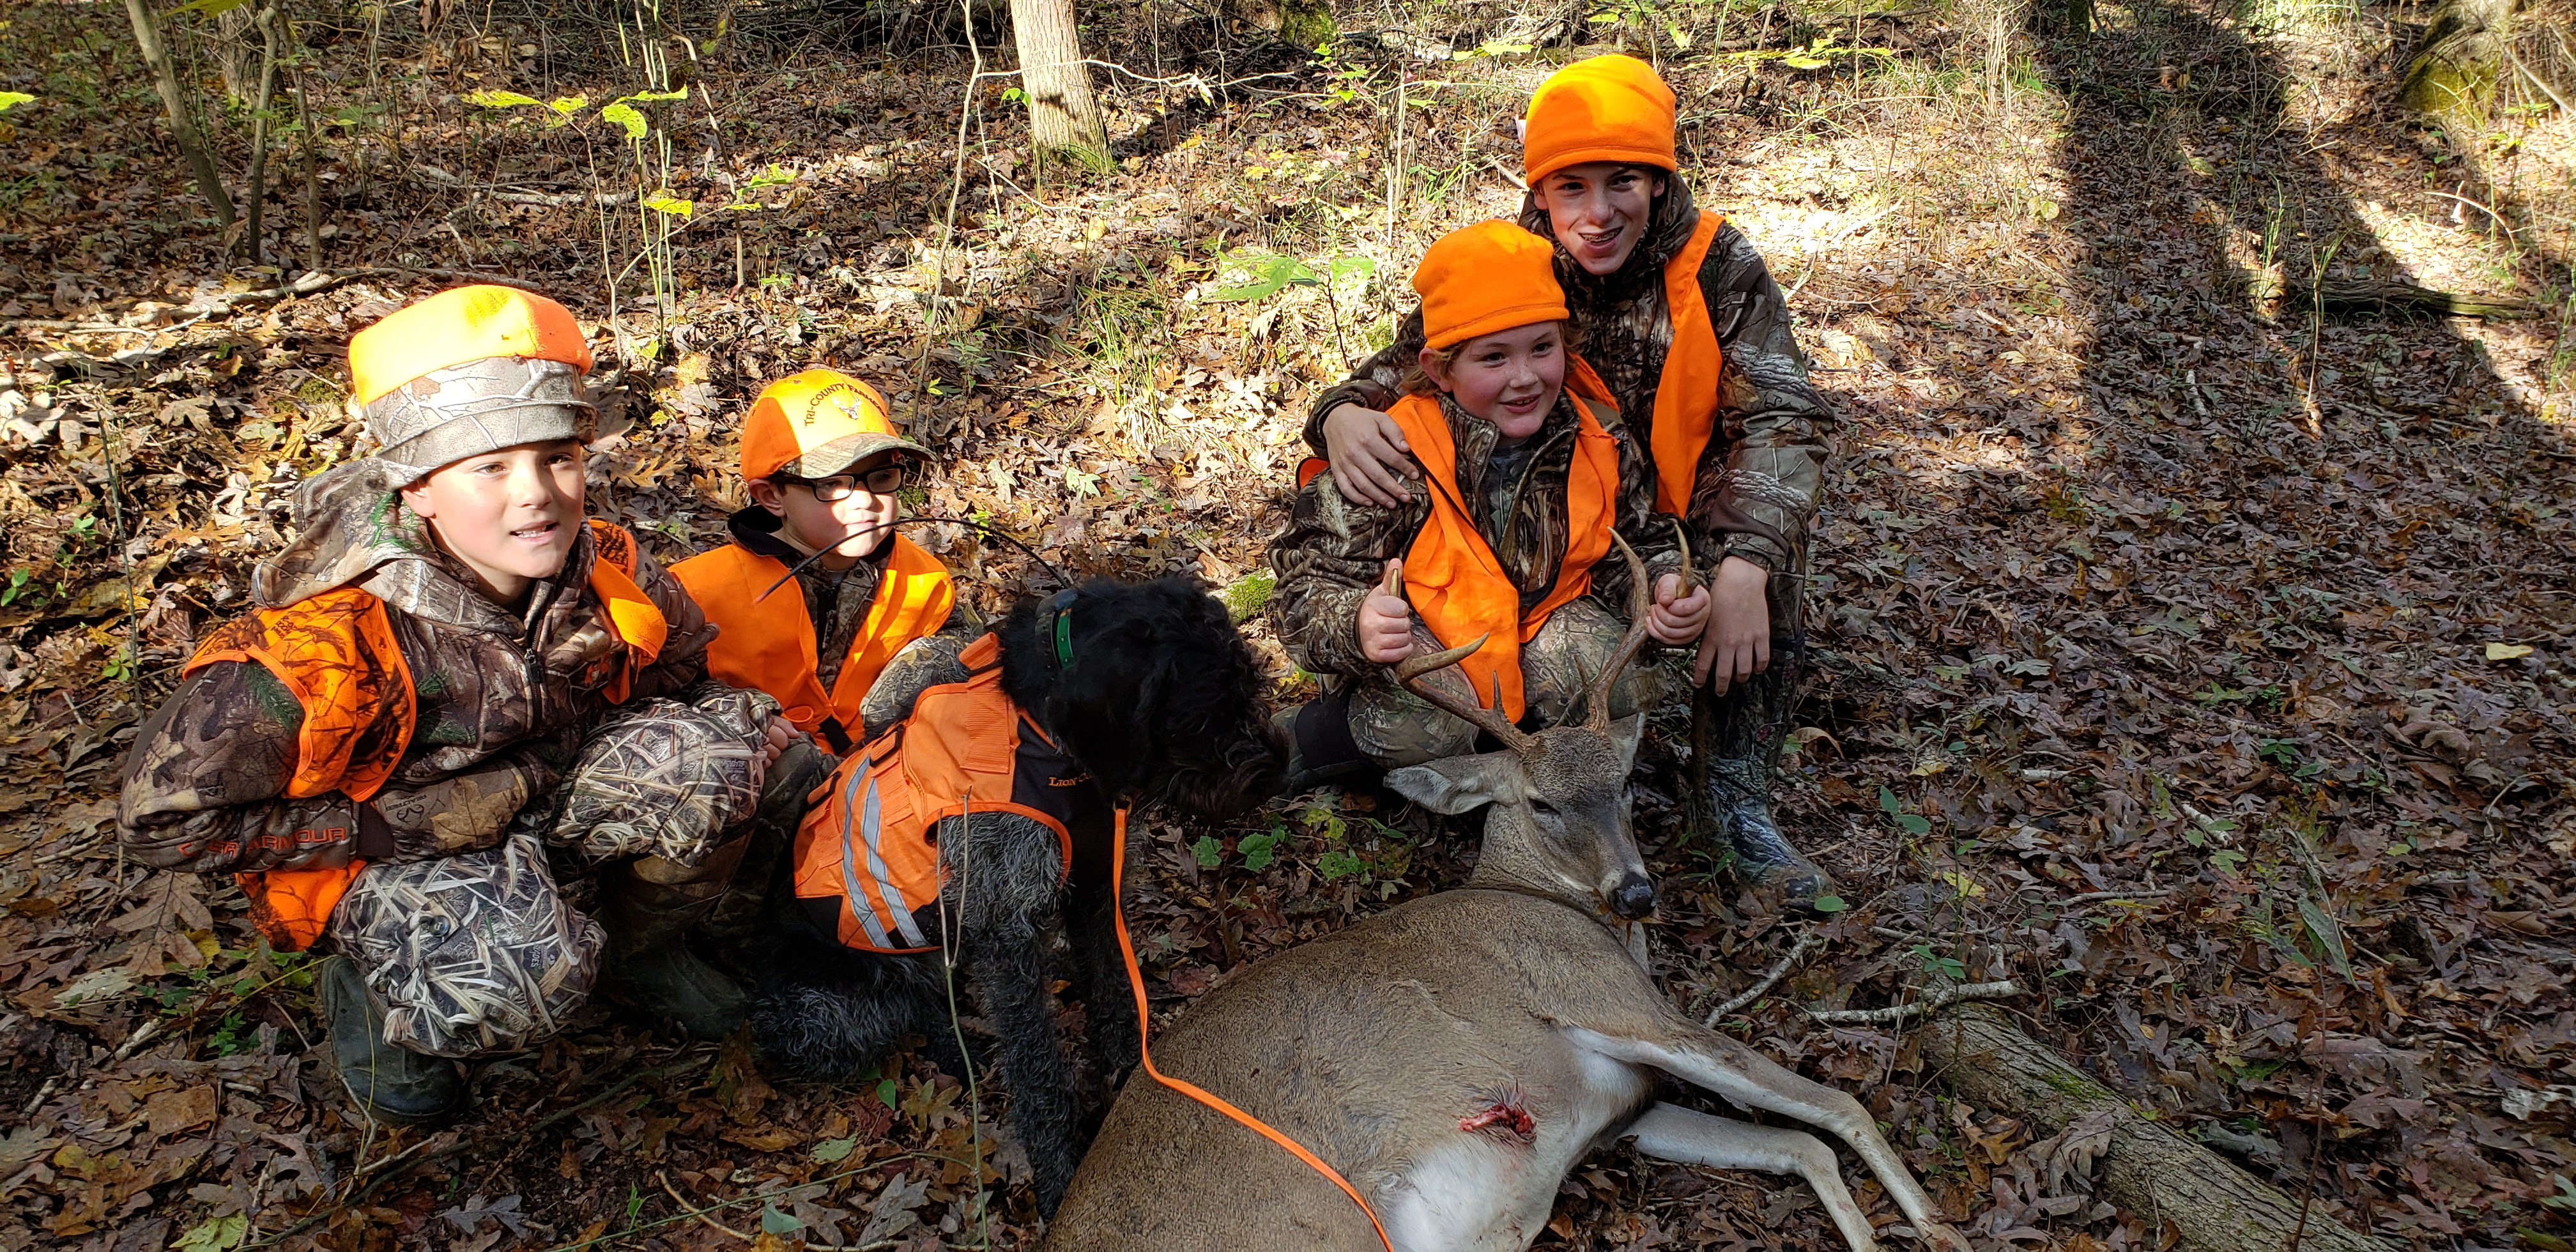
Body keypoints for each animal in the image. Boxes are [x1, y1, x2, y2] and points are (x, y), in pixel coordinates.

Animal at [1044, 538, 1967, 1252]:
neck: (1548, 901)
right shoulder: (1605, 997)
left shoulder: (1629, 1104)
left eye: (1623, 783)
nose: (1636, 893)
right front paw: (1940, 1225)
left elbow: (1797, 1145)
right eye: (1541, 803)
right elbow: (1834, 1102)